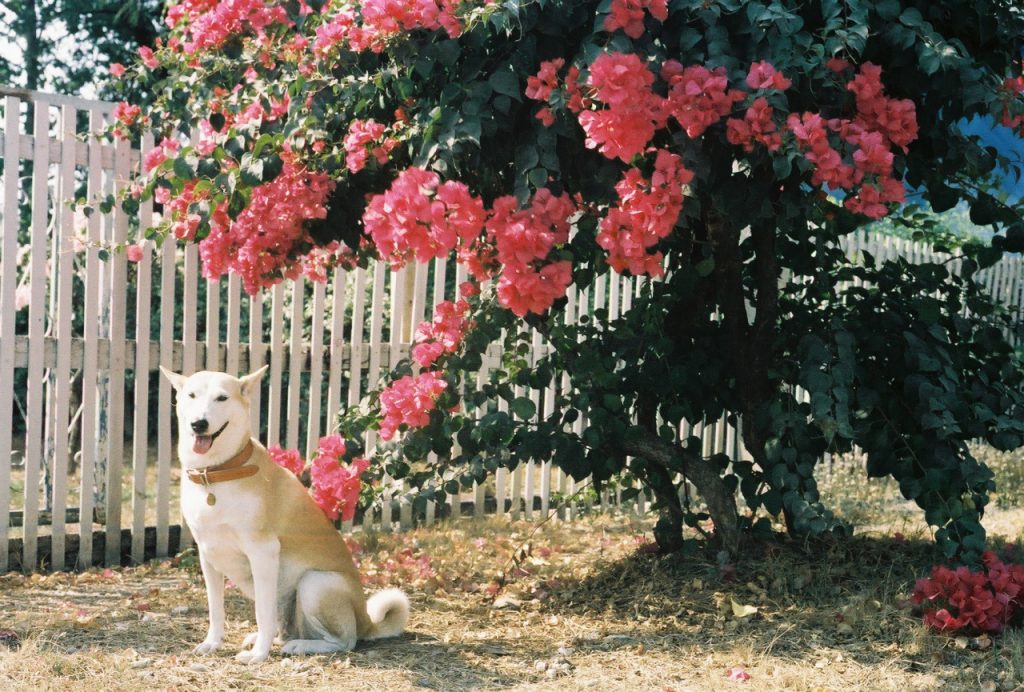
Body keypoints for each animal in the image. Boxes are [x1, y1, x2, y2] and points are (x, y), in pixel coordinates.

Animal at [159, 368, 407, 663]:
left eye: (222, 398)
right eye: (192, 395)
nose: (199, 423)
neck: (216, 474)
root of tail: (367, 622)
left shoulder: (263, 553)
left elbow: (263, 614)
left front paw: (259, 655)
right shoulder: (209, 556)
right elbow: (215, 610)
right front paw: (213, 643)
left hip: (315, 583)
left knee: (344, 640)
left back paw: (299, 645)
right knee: (284, 627)